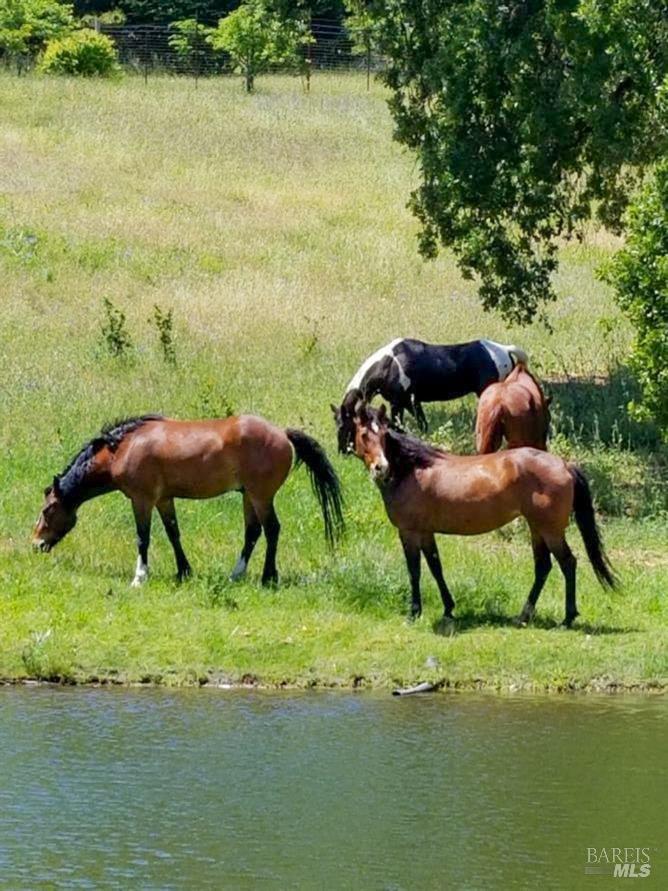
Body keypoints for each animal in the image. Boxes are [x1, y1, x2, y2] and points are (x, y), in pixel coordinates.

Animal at [33, 414, 342, 588]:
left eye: (48, 510)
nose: (36, 544)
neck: (123, 448)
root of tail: (283, 434)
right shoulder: (164, 499)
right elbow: (173, 534)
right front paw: (183, 572)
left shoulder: (142, 500)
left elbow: (143, 538)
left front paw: (139, 577)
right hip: (249, 497)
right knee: (253, 533)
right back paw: (236, 574)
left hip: (260, 496)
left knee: (272, 530)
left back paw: (268, 577)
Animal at [332, 340, 528, 456]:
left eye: (343, 426)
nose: (342, 452)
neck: (388, 365)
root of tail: (504, 349)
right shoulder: (410, 402)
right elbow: (421, 424)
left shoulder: (399, 402)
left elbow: (398, 425)